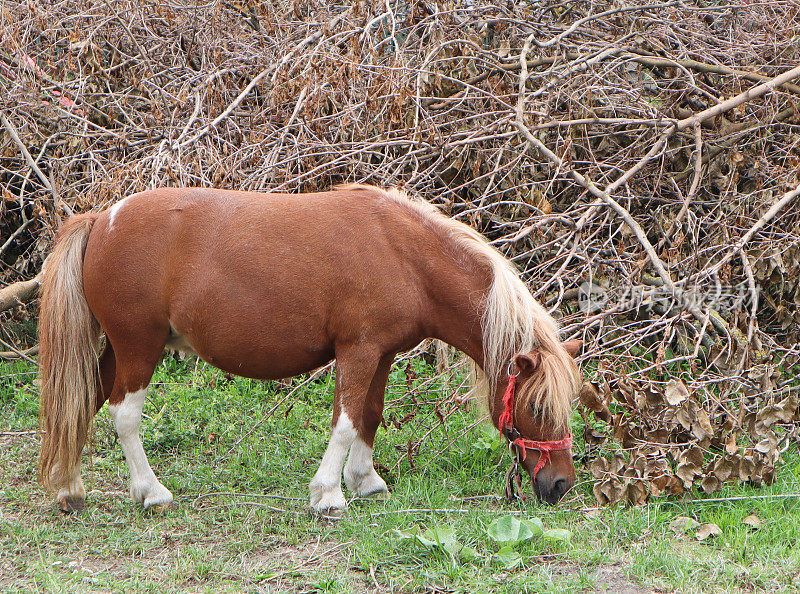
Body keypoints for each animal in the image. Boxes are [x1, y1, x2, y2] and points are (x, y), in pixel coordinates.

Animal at [36, 185, 580, 512]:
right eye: (536, 407)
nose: (561, 485)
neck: (404, 254)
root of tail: (102, 219)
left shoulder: (381, 353)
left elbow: (369, 415)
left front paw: (365, 481)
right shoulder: (358, 350)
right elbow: (344, 421)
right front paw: (329, 494)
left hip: (116, 350)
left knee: (81, 403)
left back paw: (69, 488)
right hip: (138, 348)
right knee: (123, 415)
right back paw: (151, 492)